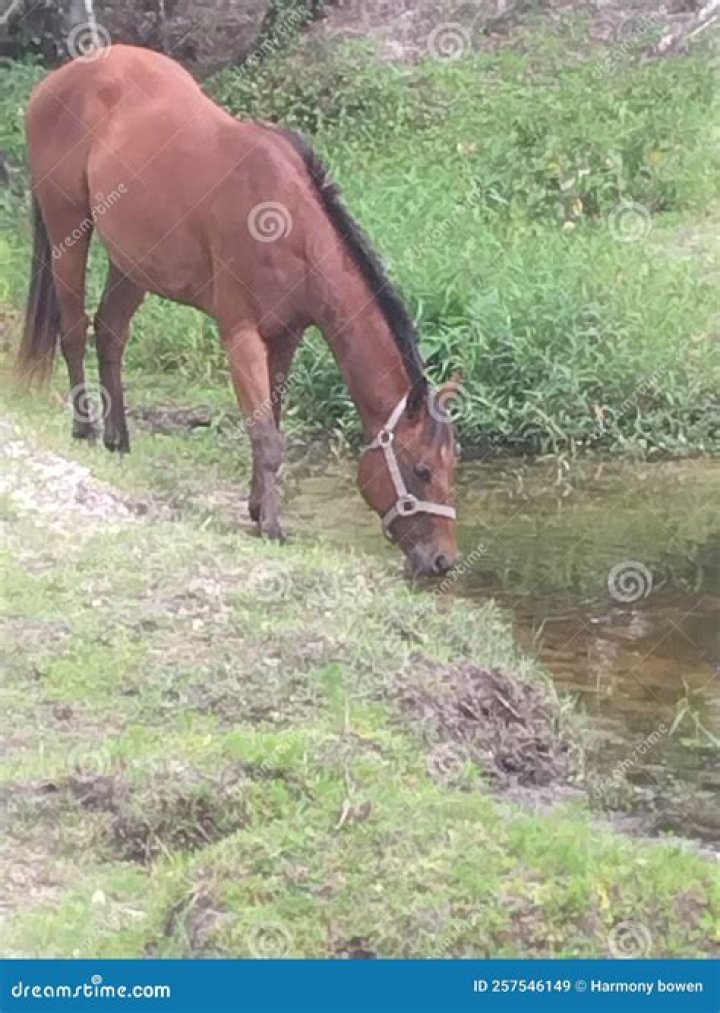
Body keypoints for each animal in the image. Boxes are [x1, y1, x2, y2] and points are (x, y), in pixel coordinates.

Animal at [17, 45, 459, 577]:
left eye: (453, 467)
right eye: (422, 469)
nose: (444, 560)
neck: (288, 225)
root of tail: (60, 78)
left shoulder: (285, 337)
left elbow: (273, 421)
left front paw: (255, 506)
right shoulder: (241, 335)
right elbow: (266, 435)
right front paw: (271, 525)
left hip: (132, 261)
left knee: (110, 332)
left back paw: (117, 438)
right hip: (69, 229)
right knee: (74, 329)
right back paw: (85, 427)